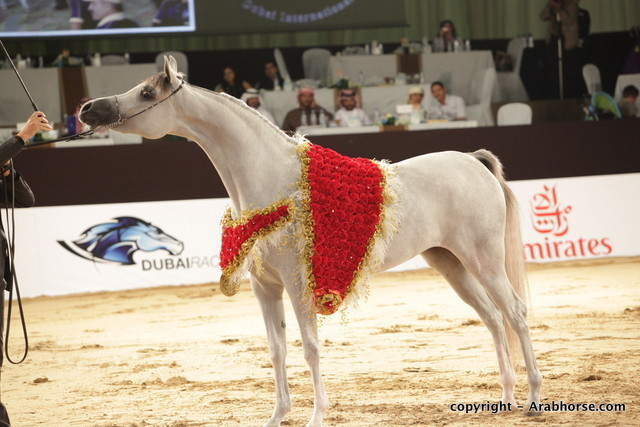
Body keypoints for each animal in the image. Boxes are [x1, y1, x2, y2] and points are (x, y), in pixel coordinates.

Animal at [79, 56, 542, 426]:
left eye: (145, 92)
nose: (87, 109)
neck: (274, 179)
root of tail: (473, 161)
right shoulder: (264, 287)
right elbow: (277, 351)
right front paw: (277, 416)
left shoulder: (299, 285)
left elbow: (310, 349)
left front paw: (317, 416)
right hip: (451, 263)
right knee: (493, 318)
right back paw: (505, 397)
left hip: (483, 260)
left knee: (516, 313)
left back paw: (534, 399)